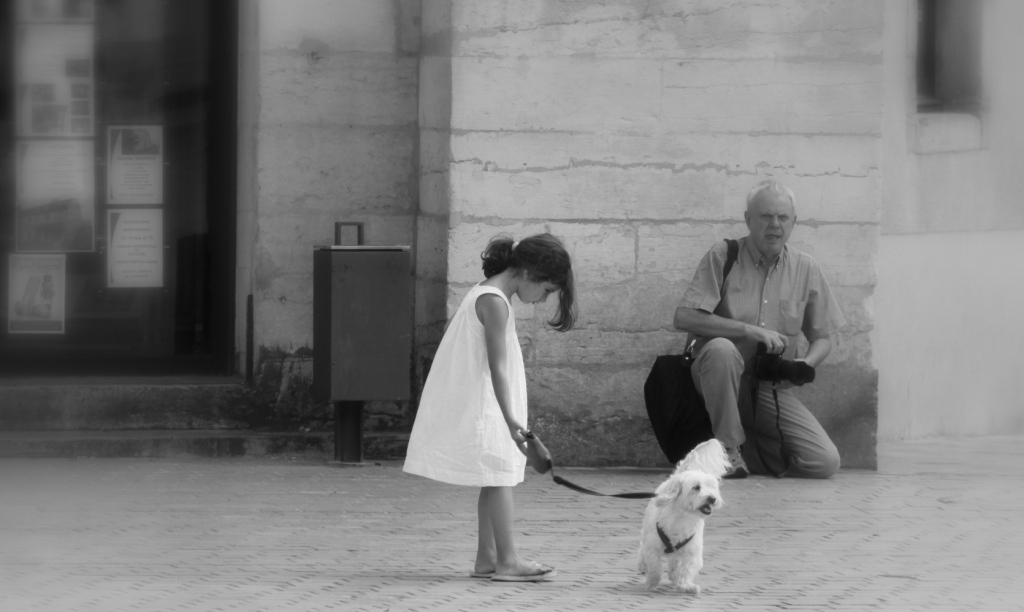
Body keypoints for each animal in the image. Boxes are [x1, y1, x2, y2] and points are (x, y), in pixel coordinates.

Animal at [634, 442, 733, 593]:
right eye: (696, 487)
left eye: (712, 487)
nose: (712, 498)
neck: (683, 519)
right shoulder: (653, 548)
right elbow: (655, 568)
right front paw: (651, 583)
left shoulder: (693, 552)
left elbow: (686, 569)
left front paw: (685, 585)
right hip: (646, 531)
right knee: (642, 548)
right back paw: (643, 565)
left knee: (675, 561)